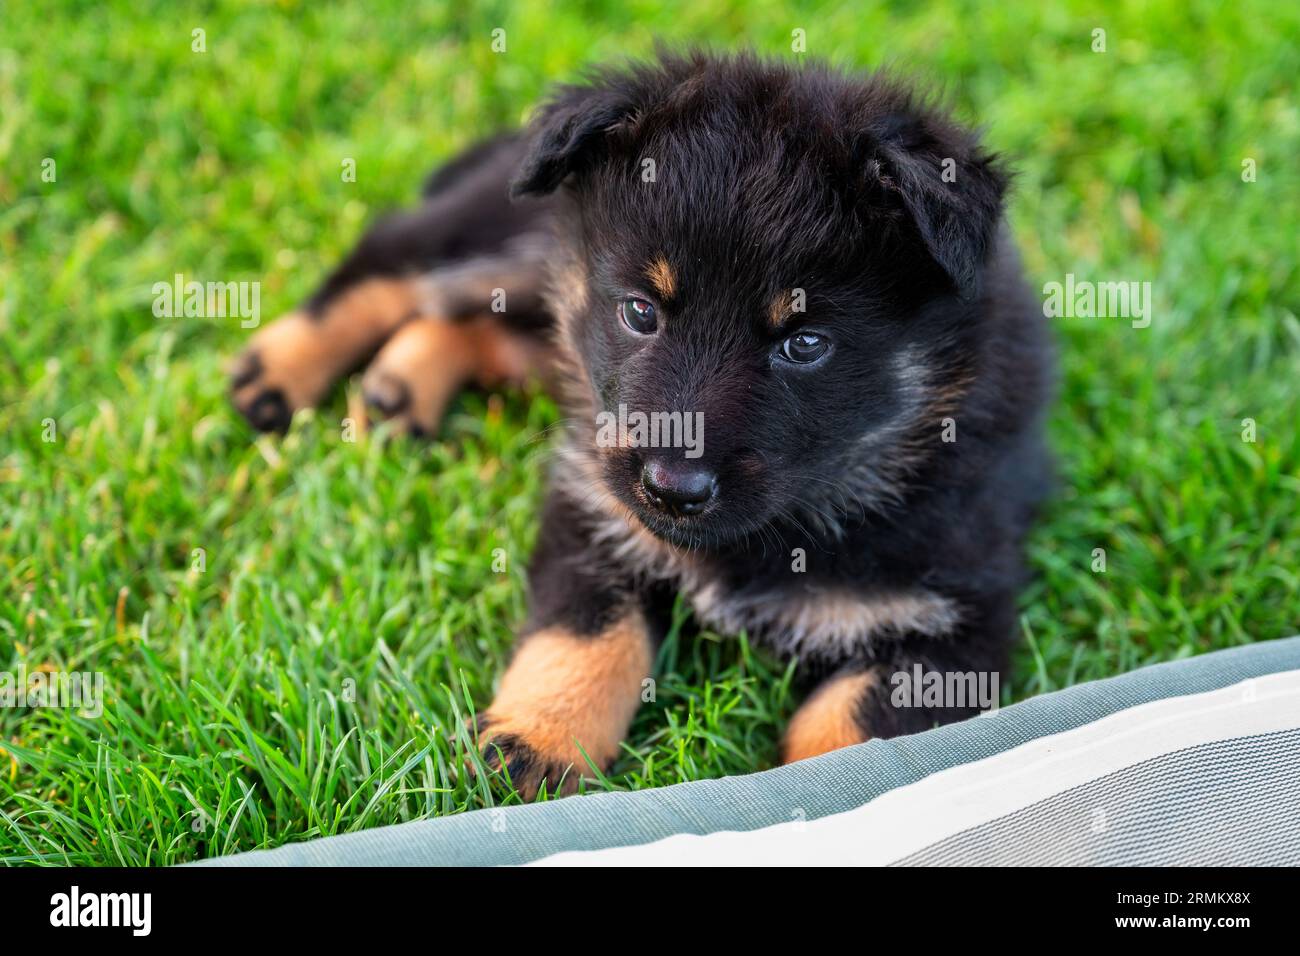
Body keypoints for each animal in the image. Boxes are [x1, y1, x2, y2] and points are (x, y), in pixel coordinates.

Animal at [228, 54, 1050, 801]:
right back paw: (278, 370)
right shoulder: (595, 506)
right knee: (391, 258)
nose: (671, 489)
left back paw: (400, 389)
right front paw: (536, 740)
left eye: (806, 343)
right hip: (505, 232)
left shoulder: (953, 622)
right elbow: (589, 635)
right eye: (640, 311)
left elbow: (849, 730)